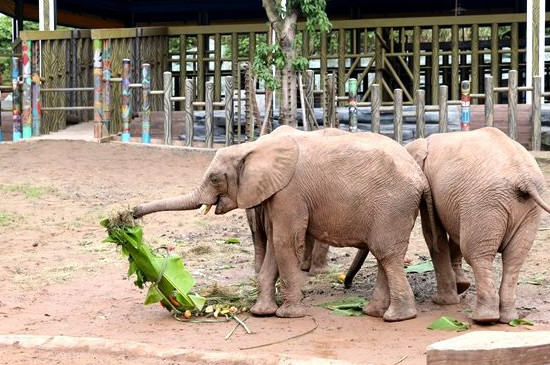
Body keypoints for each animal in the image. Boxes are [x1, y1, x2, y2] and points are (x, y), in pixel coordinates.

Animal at [132, 129, 438, 320]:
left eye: (215, 178)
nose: (132, 213)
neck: (253, 147)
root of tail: (420, 176)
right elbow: (274, 247)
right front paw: (261, 313)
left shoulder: (289, 193)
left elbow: (283, 242)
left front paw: (288, 315)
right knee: (386, 255)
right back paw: (374, 312)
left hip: (393, 205)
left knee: (386, 254)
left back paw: (395, 318)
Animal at [402, 127, 550, 322]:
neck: (422, 141)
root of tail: (524, 178)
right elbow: (453, 235)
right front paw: (461, 286)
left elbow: (433, 235)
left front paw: (443, 302)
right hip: (524, 210)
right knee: (514, 257)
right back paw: (508, 318)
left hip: (485, 203)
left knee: (476, 254)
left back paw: (484, 319)